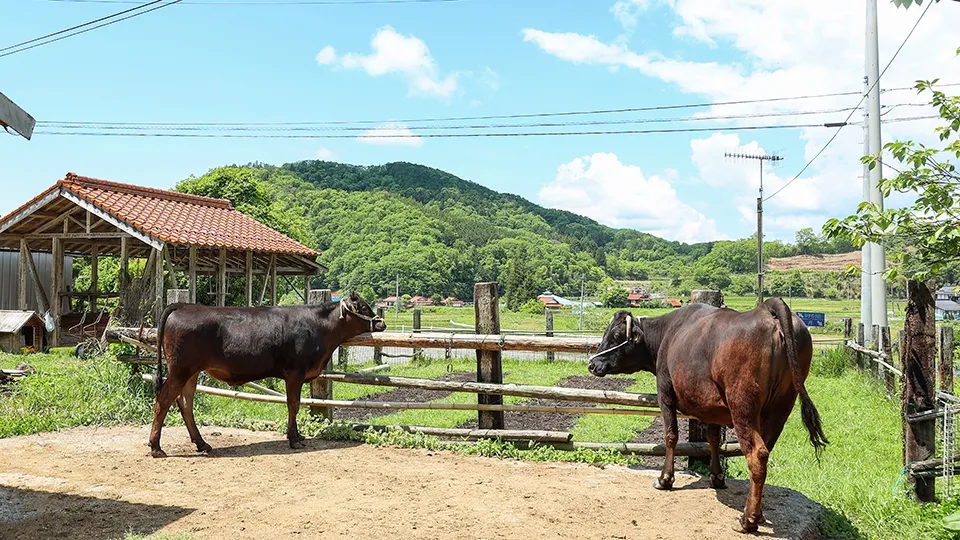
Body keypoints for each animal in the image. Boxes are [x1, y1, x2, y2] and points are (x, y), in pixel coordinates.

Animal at [148, 292, 384, 460]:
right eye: (363, 306)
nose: (382, 323)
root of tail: (183, 305)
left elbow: (295, 405)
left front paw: (298, 435)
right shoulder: (295, 372)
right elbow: (293, 404)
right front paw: (294, 439)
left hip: (192, 372)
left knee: (185, 403)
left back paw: (201, 443)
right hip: (180, 370)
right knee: (164, 400)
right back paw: (156, 447)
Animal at [588, 298, 828, 532]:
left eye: (616, 336)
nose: (592, 364)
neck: (667, 333)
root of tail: (767, 309)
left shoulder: (665, 393)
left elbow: (671, 435)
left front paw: (665, 479)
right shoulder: (713, 407)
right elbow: (712, 440)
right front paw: (717, 477)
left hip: (742, 405)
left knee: (757, 454)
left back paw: (747, 520)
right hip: (780, 407)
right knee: (766, 450)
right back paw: (758, 512)